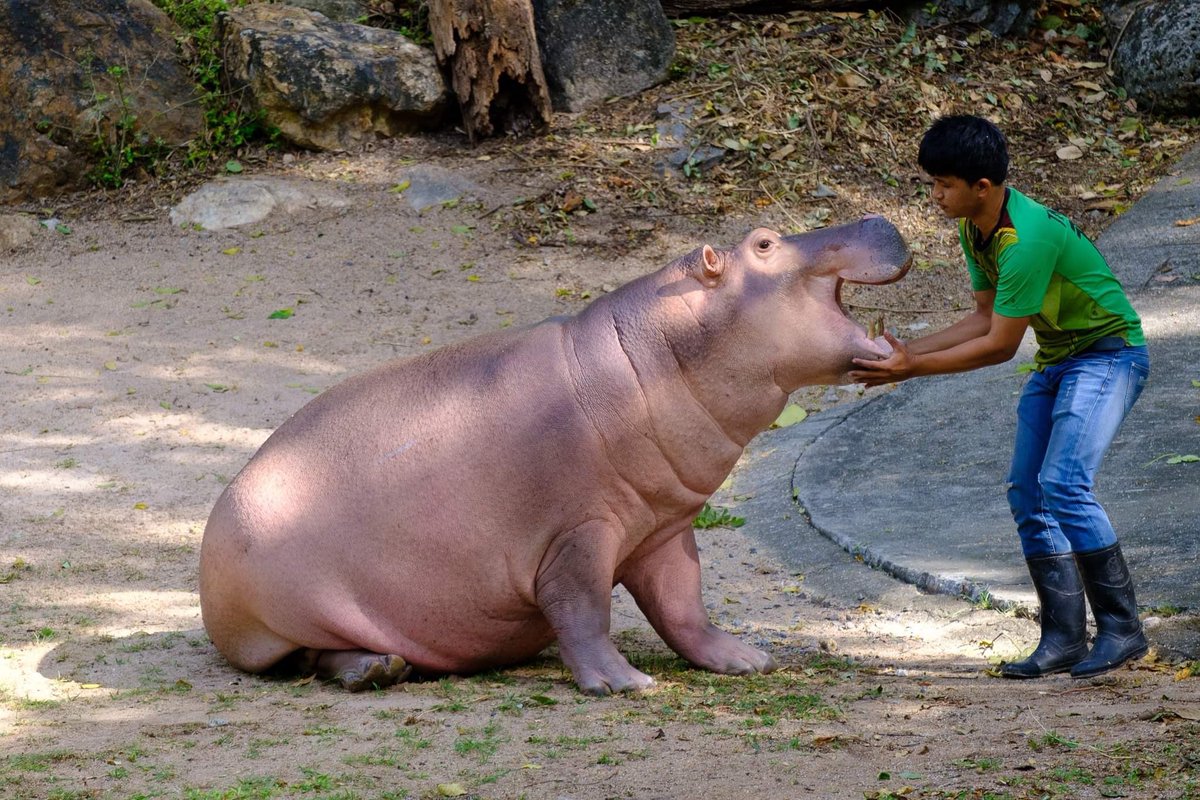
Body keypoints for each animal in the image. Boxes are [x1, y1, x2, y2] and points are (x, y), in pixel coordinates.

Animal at [199, 218, 911, 695]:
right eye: (763, 243)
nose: (879, 218)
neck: (653, 353)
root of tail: (214, 522)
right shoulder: (576, 533)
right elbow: (583, 608)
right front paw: (625, 684)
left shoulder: (664, 528)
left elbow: (685, 607)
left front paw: (745, 659)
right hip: (286, 617)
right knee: (305, 658)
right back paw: (373, 672)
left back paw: (382, 668)